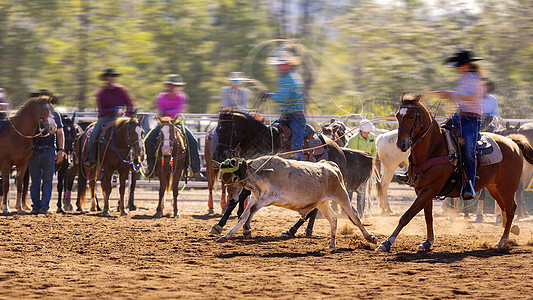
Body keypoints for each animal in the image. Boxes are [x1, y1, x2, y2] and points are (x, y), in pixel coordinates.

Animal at [374, 94, 532, 253]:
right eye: (397, 115)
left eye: (411, 116)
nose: (401, 144)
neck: (435, 148)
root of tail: (512, 143)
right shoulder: (422, 190)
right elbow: (428, 216)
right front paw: (428, 241)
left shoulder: (430, 189)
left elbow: (407, 215)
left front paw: (387, 242)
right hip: (495, 187)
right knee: (506, 207)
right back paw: (511, 230)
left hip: (506, 187)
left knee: (510, 209)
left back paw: (502, 240)